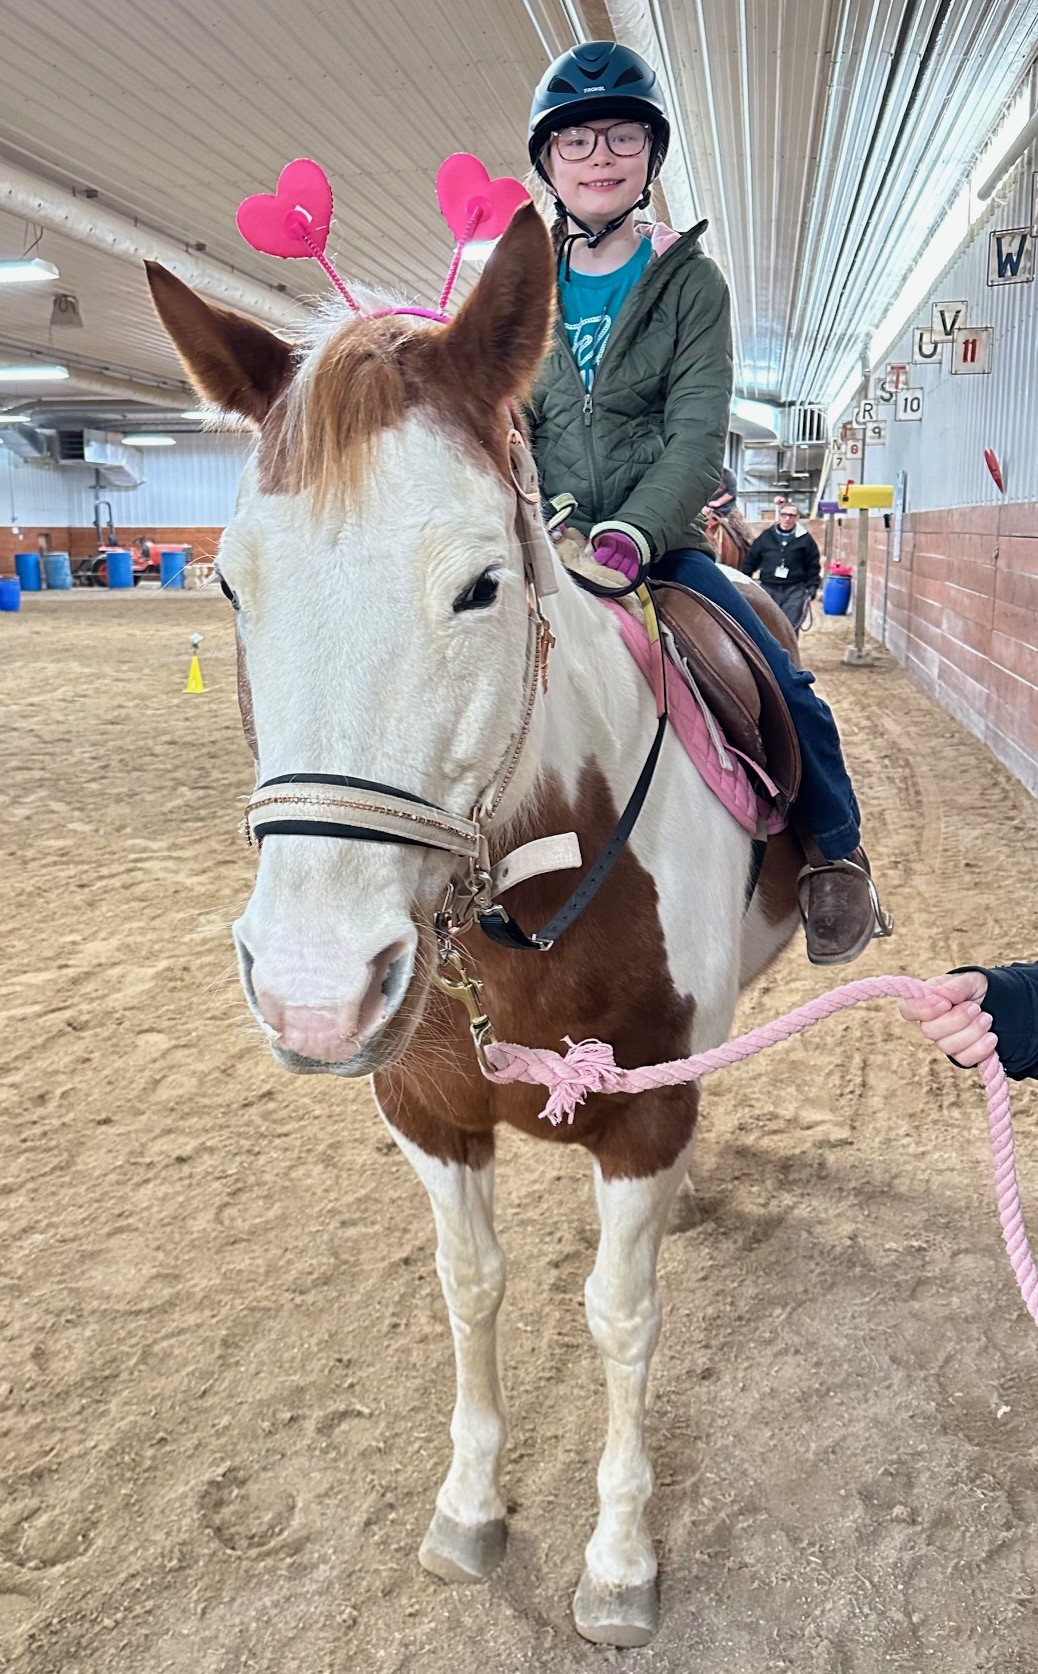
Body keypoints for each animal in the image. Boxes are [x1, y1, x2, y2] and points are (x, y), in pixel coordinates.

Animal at [147, 202, 802, 1648]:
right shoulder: (427, 1113)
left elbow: (619, 1316)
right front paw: (470, 1505)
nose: (316, 989)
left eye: (483, 585)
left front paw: (618, 1558)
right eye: (228, 586)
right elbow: (470, 1285)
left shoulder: (644, 1116)